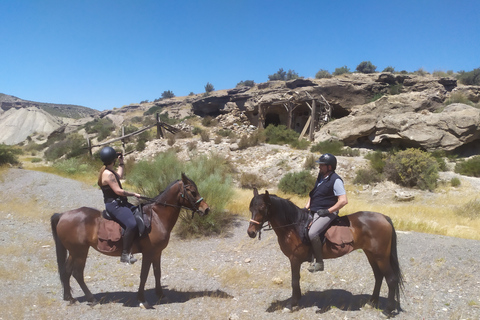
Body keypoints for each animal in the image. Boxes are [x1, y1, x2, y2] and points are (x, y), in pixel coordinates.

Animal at [50, 174, 210, 308]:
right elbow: (144, 275)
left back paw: (69, 298)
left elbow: (157, 273)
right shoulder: (148, 252)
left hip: (74, 252)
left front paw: (161, 295)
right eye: (192, 191)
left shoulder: (157, 252)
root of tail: (63, 215)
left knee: (66, 271)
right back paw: (91, 298)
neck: (157, 217)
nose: (206, 209)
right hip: (80, 251)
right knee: (77, 273)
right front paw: (142, 299)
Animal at [246, 189, 404, 316]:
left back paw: (387, 310)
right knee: (378, 276)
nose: (250, 232)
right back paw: (372, 302)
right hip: (371, 254)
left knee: (391, 279)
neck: (294, 226)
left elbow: (294, 280)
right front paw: (297, 300)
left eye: (262, 208)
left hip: (381, 256)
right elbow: (296, 280)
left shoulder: (294, 259)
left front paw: (292, 304)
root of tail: (384, 218)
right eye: (251, 208)